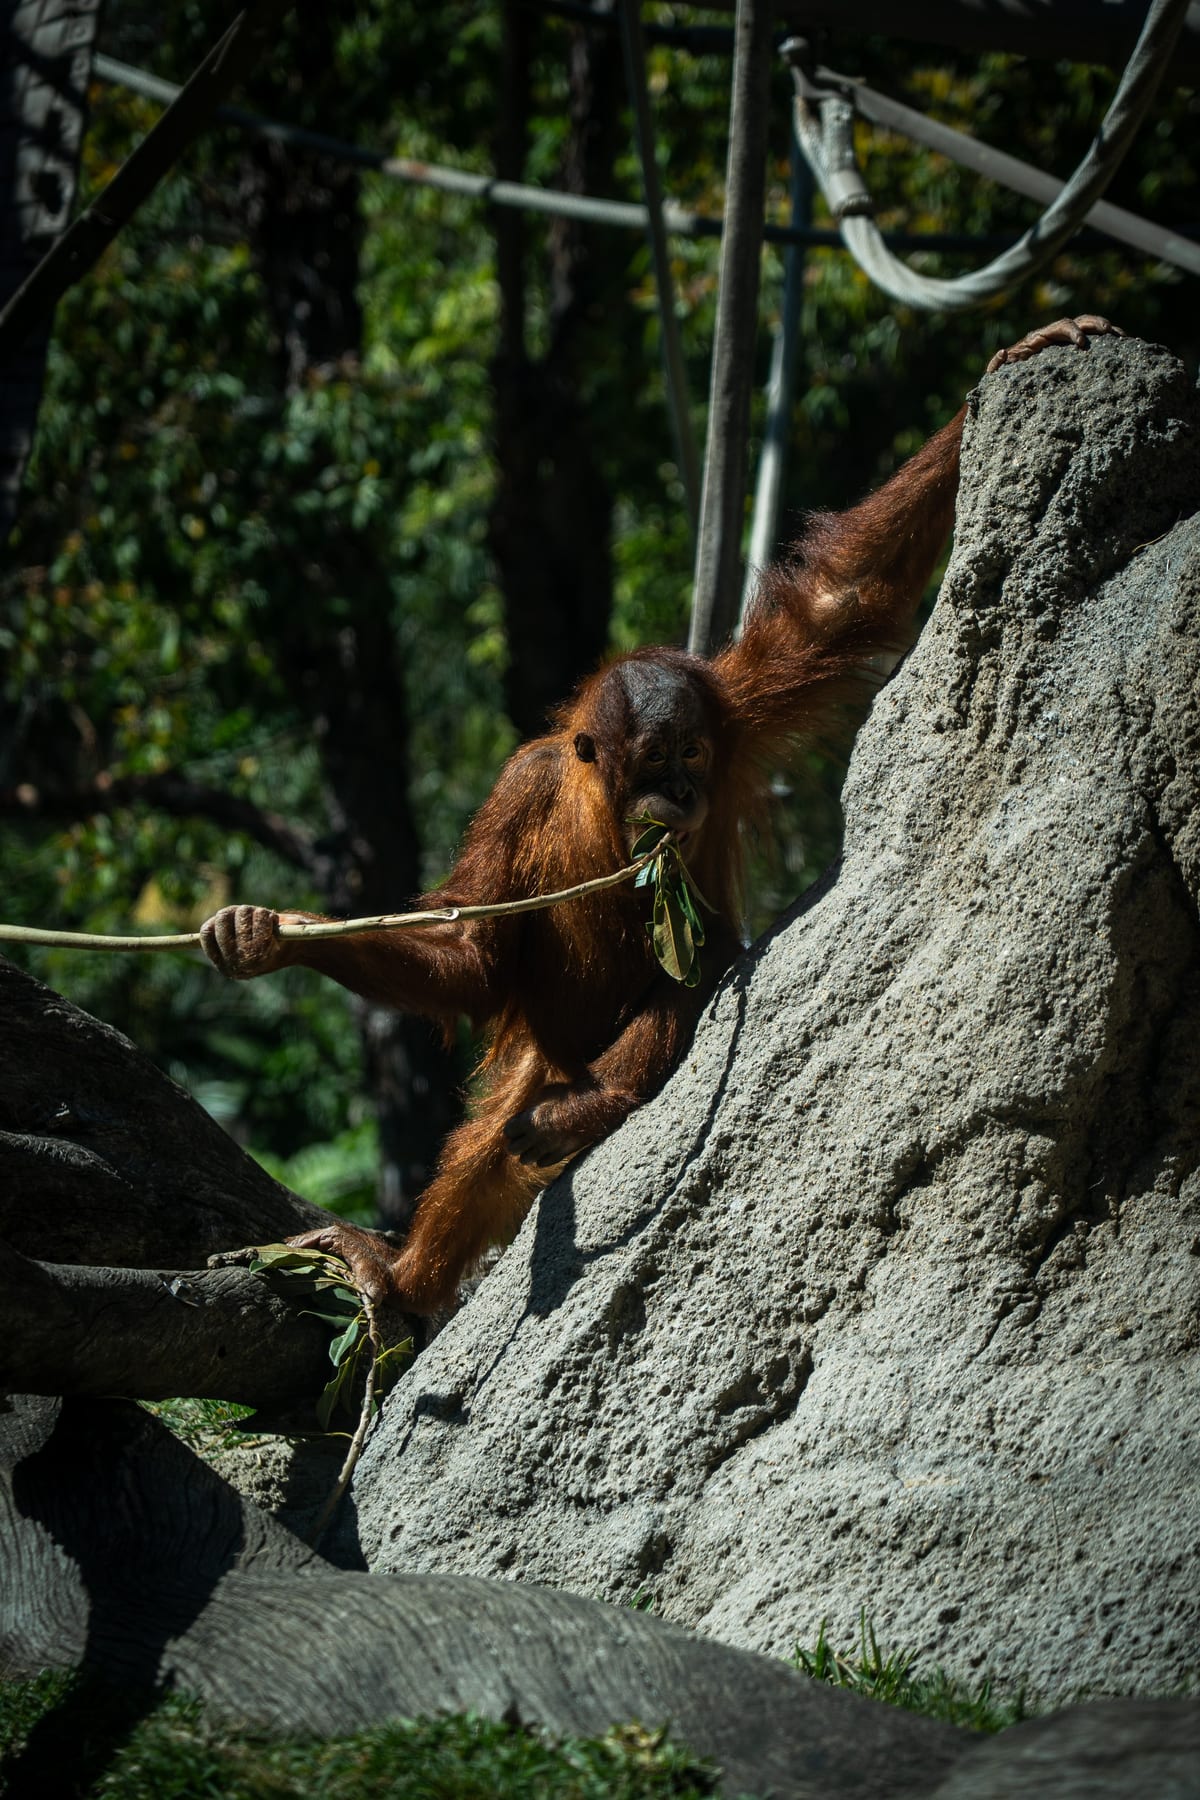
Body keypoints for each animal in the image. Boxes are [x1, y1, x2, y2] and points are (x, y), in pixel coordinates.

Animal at [201, 316, 1121, 1315]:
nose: (677, 796)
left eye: (690, 760)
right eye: (652, 762)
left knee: (687, 985)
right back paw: (399, 1285)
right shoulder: (520, 789)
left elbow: (841, 602)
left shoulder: (737, 712)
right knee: (487, 1149)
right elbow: (476, 954)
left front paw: (1027, 349)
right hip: (545, 1057)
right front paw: (265, 936)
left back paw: (580, 1117)